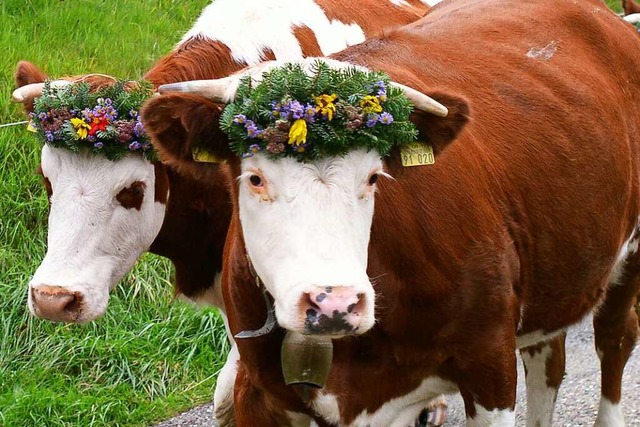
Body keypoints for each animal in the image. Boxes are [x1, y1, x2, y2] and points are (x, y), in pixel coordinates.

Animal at [142, 0, 640, 426]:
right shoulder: (261, 394)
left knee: (614, 338)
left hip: (628, 257)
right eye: (255, 179)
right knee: (548, 357)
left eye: (373, 176)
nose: (334, 304)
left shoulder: (489, 367)